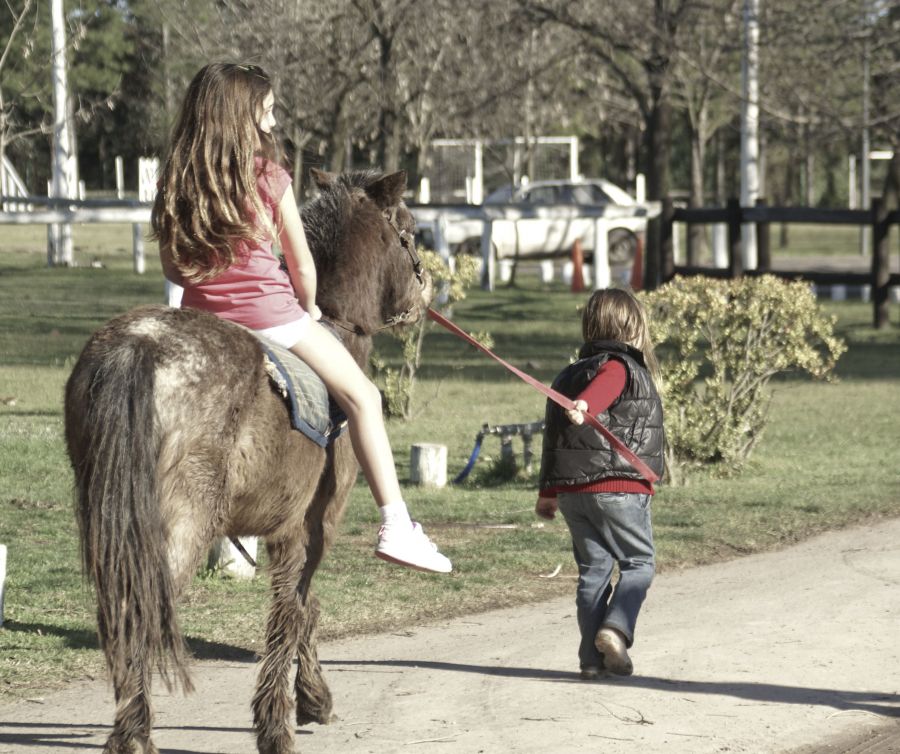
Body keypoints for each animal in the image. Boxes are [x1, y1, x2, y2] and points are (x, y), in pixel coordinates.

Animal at [63, 169, 428, 752]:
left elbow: (301, 610)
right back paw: (135, 735)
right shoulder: (310, 528)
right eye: (411, 232)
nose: (424, 294)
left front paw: (310, 700)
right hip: (179, 525)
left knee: (119, 612)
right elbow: (294, 611)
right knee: (143, 609)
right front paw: (279, 723)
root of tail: (138, 344)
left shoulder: (285, 532)